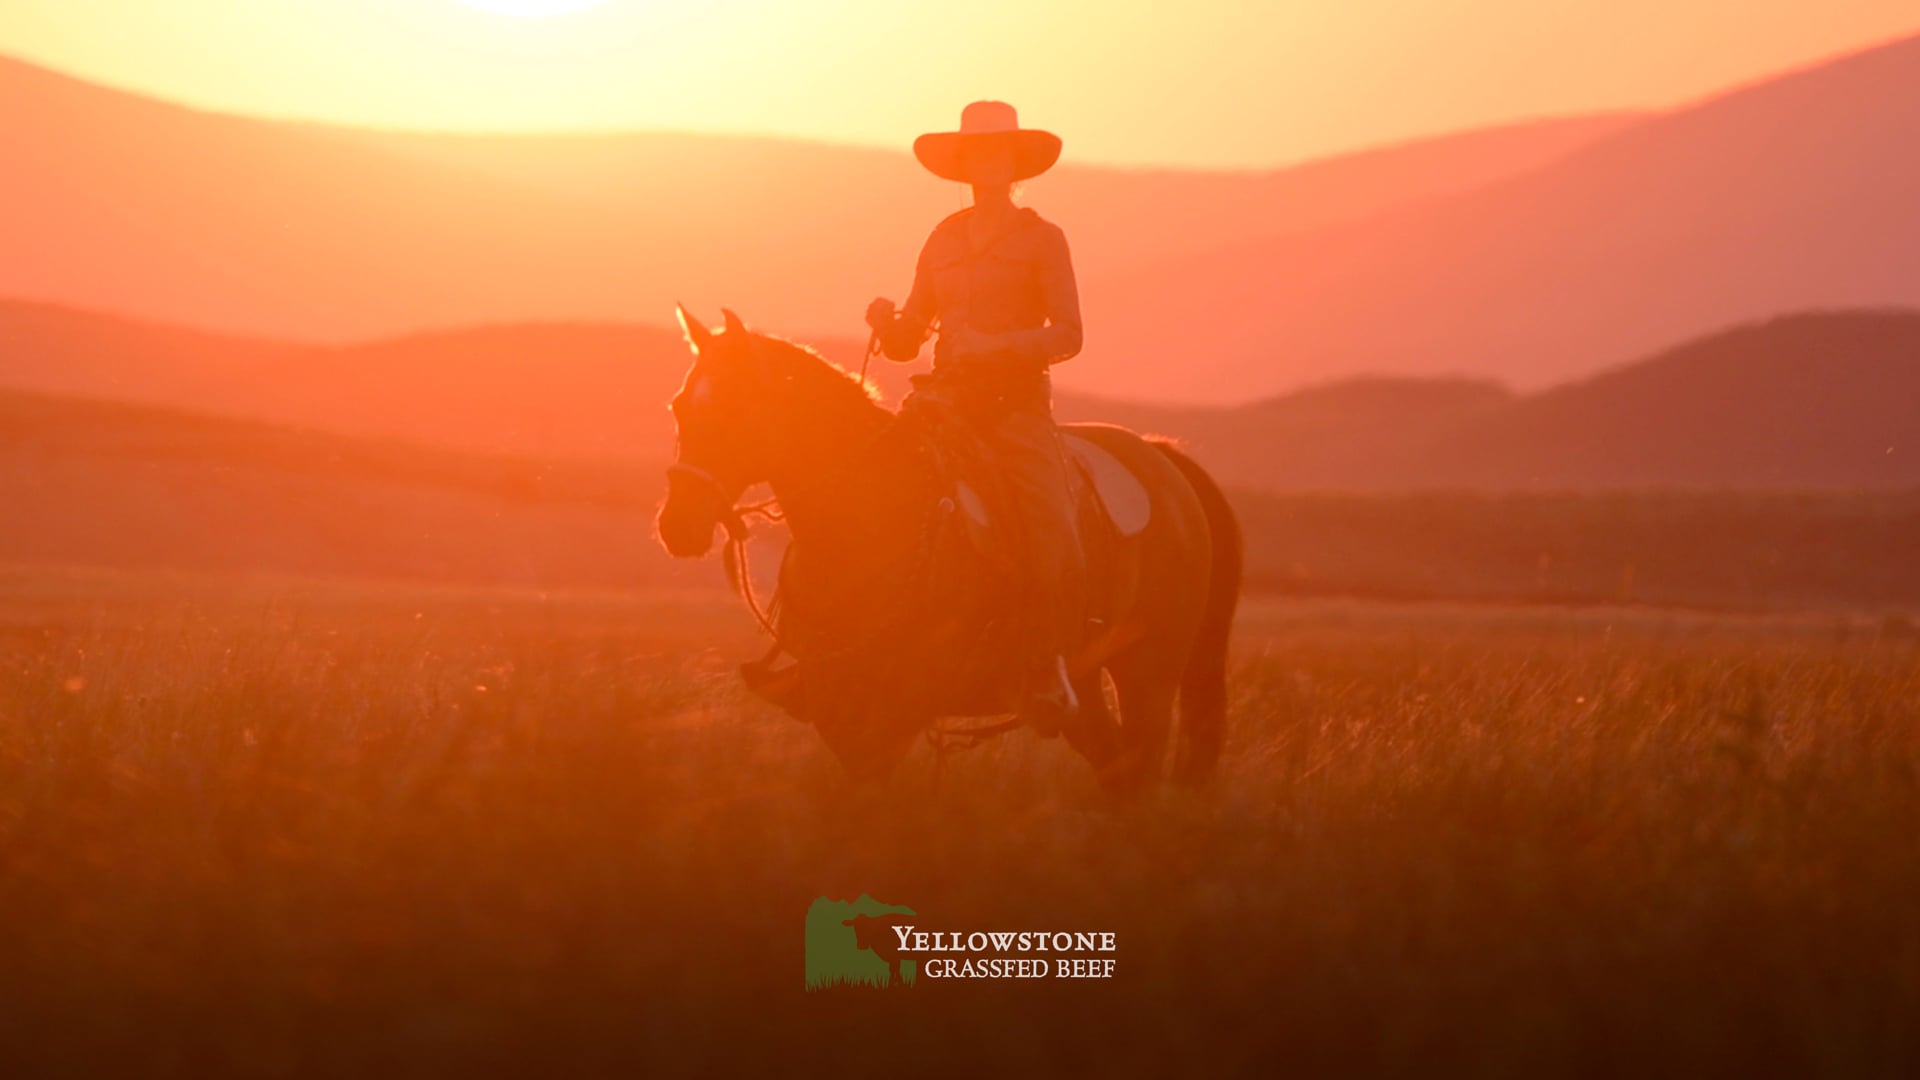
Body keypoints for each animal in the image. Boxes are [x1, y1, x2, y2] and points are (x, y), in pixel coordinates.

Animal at [652, 307, 1236, 787]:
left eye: (737, 407)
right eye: (679, 406)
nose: (678, 525)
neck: (865, 526)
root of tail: (1162, 460)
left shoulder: (896, 713)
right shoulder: (837, 711)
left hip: (1149, 677)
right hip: (1088, 687)